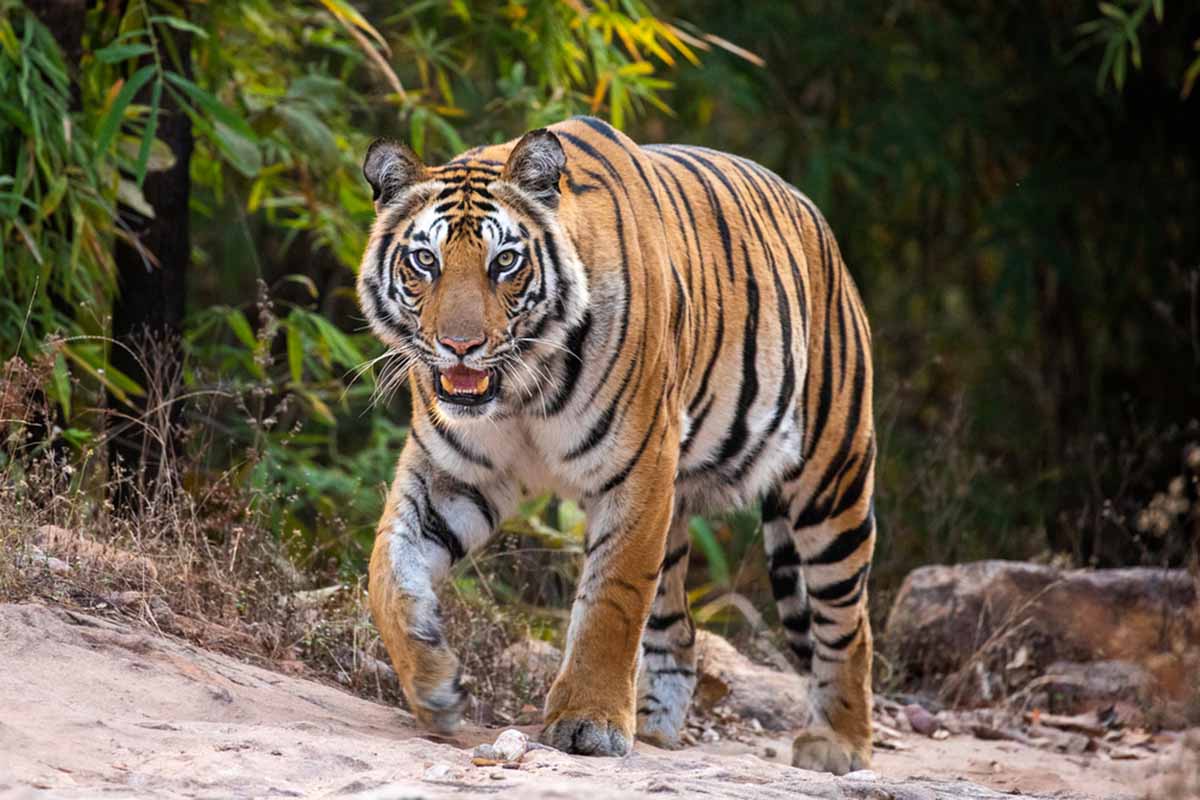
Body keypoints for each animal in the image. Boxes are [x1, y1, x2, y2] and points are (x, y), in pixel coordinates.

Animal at [356, 116, 876, 775]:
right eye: (425, 260)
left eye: (506, 262)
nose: (460, 346)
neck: (522, 390)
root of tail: (818, 221)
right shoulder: (452, 475)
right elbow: (387, 572)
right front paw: (432, 684)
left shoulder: (639, 467)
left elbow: (612, 601)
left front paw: (589, 723)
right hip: (681, 516)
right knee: (679, 629)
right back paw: (656, 728)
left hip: (831, 484)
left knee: (848, 621)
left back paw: (837, 743)